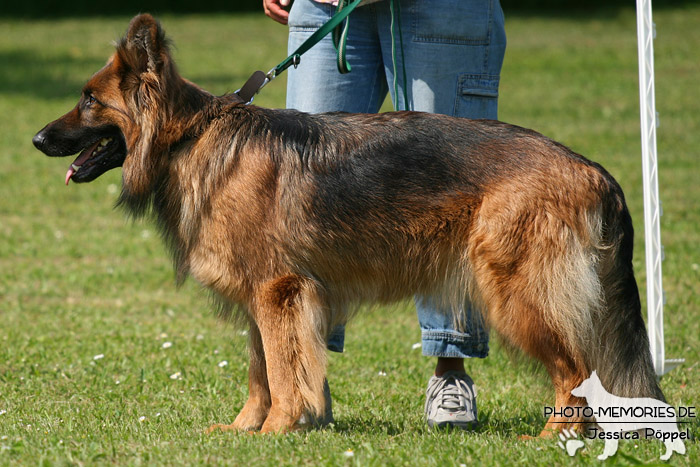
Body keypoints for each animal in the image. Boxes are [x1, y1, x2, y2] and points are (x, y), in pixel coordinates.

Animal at [34, 14, 668, 436]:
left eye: (89, 101)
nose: (36, 139)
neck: (191, 136)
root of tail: (591, 169)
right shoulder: (263, 300)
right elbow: (262, 371)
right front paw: (246, 431)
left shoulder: (279, 293)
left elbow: (283, 370)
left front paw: (277, 430)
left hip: (516, 295)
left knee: (576, 371)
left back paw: (553, 439)